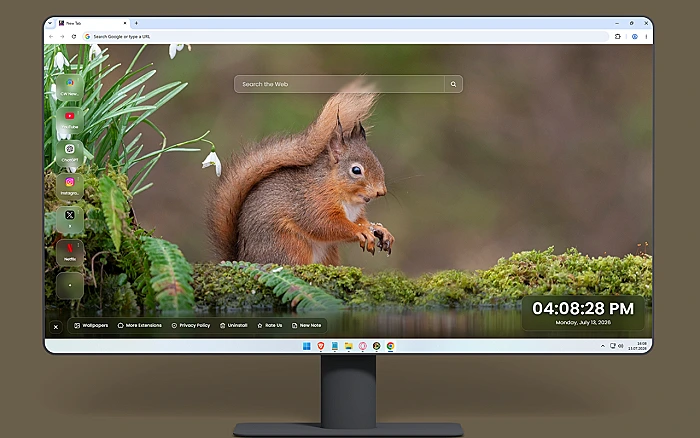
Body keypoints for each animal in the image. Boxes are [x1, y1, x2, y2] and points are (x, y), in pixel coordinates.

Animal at [206, 82, 394, 266]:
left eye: (378, 162)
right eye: (356, 170)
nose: (381, 191)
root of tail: (243, 259)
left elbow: (360, 221)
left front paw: (379, 229)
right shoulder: (312, 203)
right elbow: (325, 225)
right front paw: (360, 231)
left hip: (328, 252)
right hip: (290, 245)